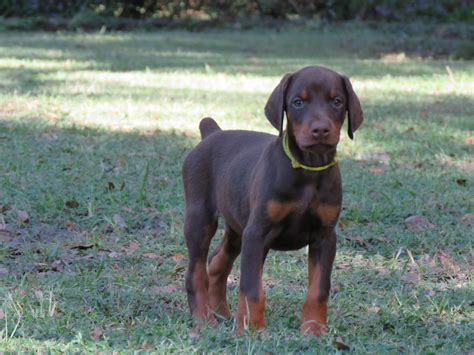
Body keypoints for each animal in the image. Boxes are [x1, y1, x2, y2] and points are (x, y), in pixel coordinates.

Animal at [181, 66, 362, 336]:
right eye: (297, 102)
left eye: (337, 101)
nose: (320, 130)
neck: (308, 169)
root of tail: (212, 133)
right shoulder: (257, 233)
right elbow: (252, 289)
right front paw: (252, 331)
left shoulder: (325, 236)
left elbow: (319, 290)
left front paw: (313, 330)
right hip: (200, 218)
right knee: (196, 271)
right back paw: (204, 319)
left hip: (237, 227)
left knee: (217, 262)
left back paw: (222, 313)